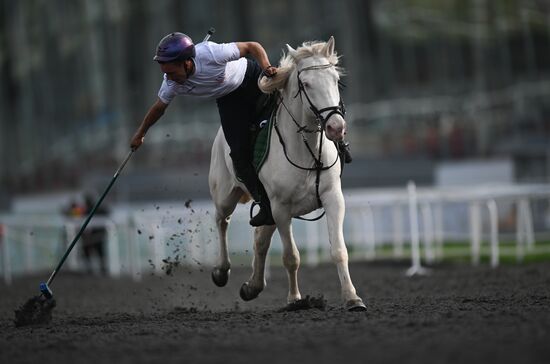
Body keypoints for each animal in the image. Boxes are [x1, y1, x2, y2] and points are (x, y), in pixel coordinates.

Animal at [209, 36, 368, 310]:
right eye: (306, 84)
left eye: (335, 80)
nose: (336, 127)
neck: (307, 150)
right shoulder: (281, 208)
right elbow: (291, 257)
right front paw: (295, 300)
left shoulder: (333, 198)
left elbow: (339, 250)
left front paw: (352, 298)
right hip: (226, 195)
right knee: (222, 220)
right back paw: (221, 271)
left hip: (266, 210)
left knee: (260, 238)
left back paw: (252, 287)